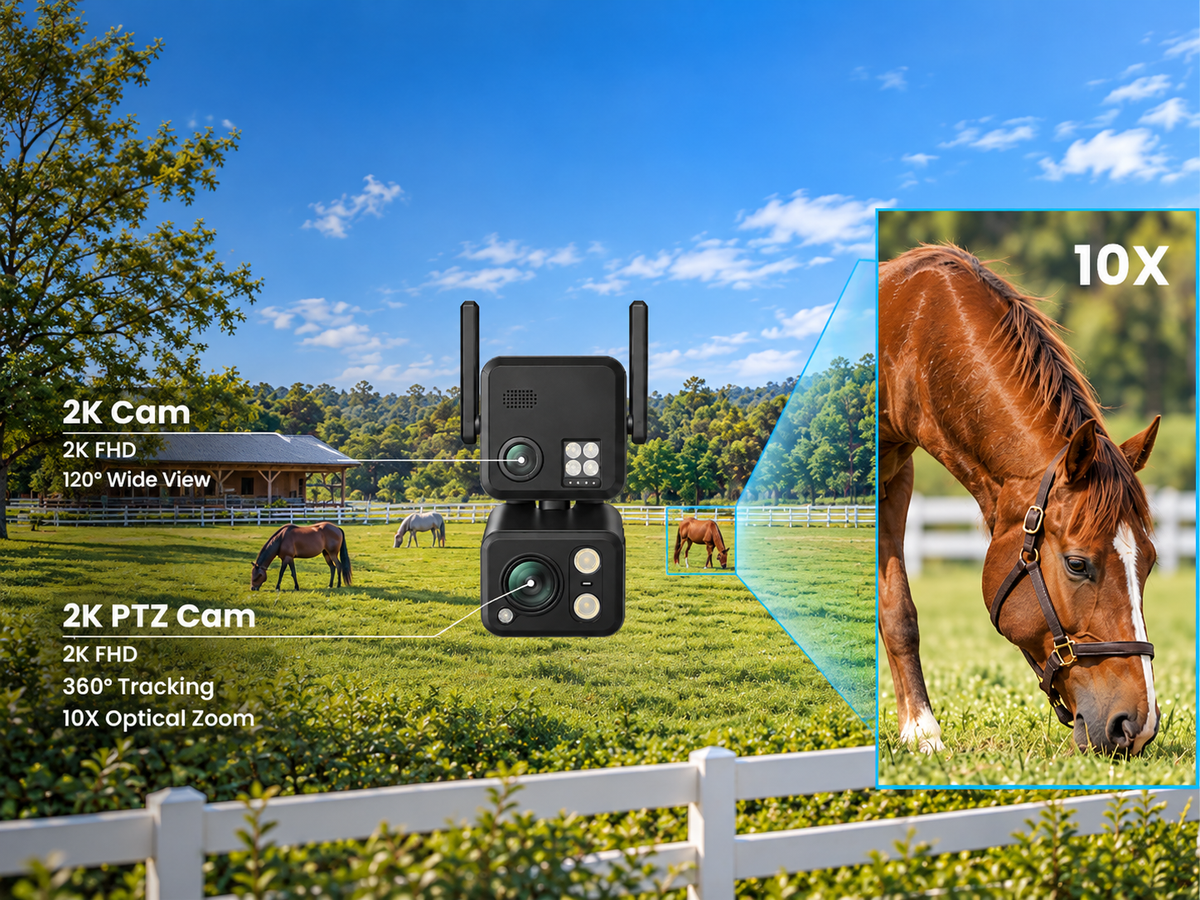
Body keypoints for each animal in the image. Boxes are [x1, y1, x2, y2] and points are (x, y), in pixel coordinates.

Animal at [879, 244, 1160, 757]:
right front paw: (924, 731)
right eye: (1077, 564)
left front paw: (915, 729)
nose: (1138, 726)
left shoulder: (896, 476)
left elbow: (897, 612)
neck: (913, 330)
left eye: (1148, 562)